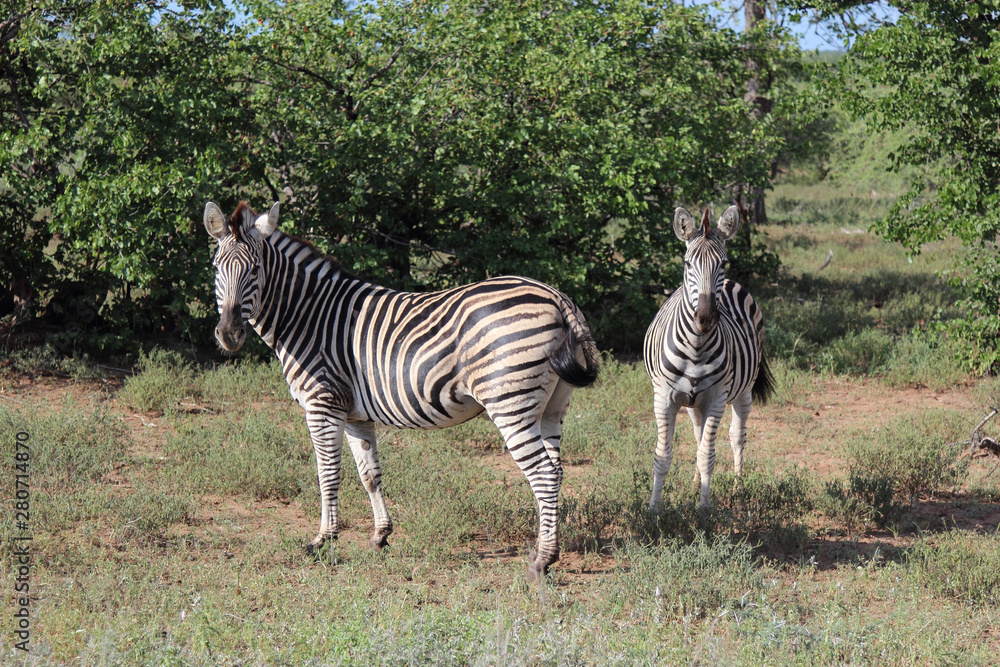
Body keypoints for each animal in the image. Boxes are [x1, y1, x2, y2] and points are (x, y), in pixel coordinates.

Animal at [204, 201, 599, 580]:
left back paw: (542, 561)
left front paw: (323, 540)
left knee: (543, 474)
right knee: (557, 471)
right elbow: (370, 474)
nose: (229, 335)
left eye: (255, 270)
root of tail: (556, 296)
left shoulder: (323, 403)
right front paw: (380, 535)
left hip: (509, 404)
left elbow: (327, 473)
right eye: (217, 269)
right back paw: (547, 550)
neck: (308, 316)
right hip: (552, 407)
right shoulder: (355, 414)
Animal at [643, 205, 774, 510]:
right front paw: (653, 510)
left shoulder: (716, 398)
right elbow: (663, 455)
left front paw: (704, 509)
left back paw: (738, 488)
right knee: (698, 434)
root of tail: (731, 284)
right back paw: (694, 484)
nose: (705, 318)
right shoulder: (663, 397)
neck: (696, 347)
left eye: (723, 263)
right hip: (693, 402)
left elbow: (708, 455)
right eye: (687, 263)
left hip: (742, 391)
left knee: (736, 437)